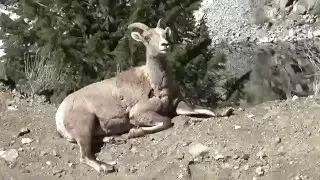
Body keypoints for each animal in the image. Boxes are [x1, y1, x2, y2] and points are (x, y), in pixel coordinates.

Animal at [55, 19, 216, 174]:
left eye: (165, 34)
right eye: (147, 38)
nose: (165, 45)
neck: (155, 84)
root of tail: (59, 115)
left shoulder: (178, 105)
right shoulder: (139, 113)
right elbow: (166, 122)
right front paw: (133, 132)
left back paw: (114, 139)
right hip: (84, 126)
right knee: (85, 156)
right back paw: (106, 167)